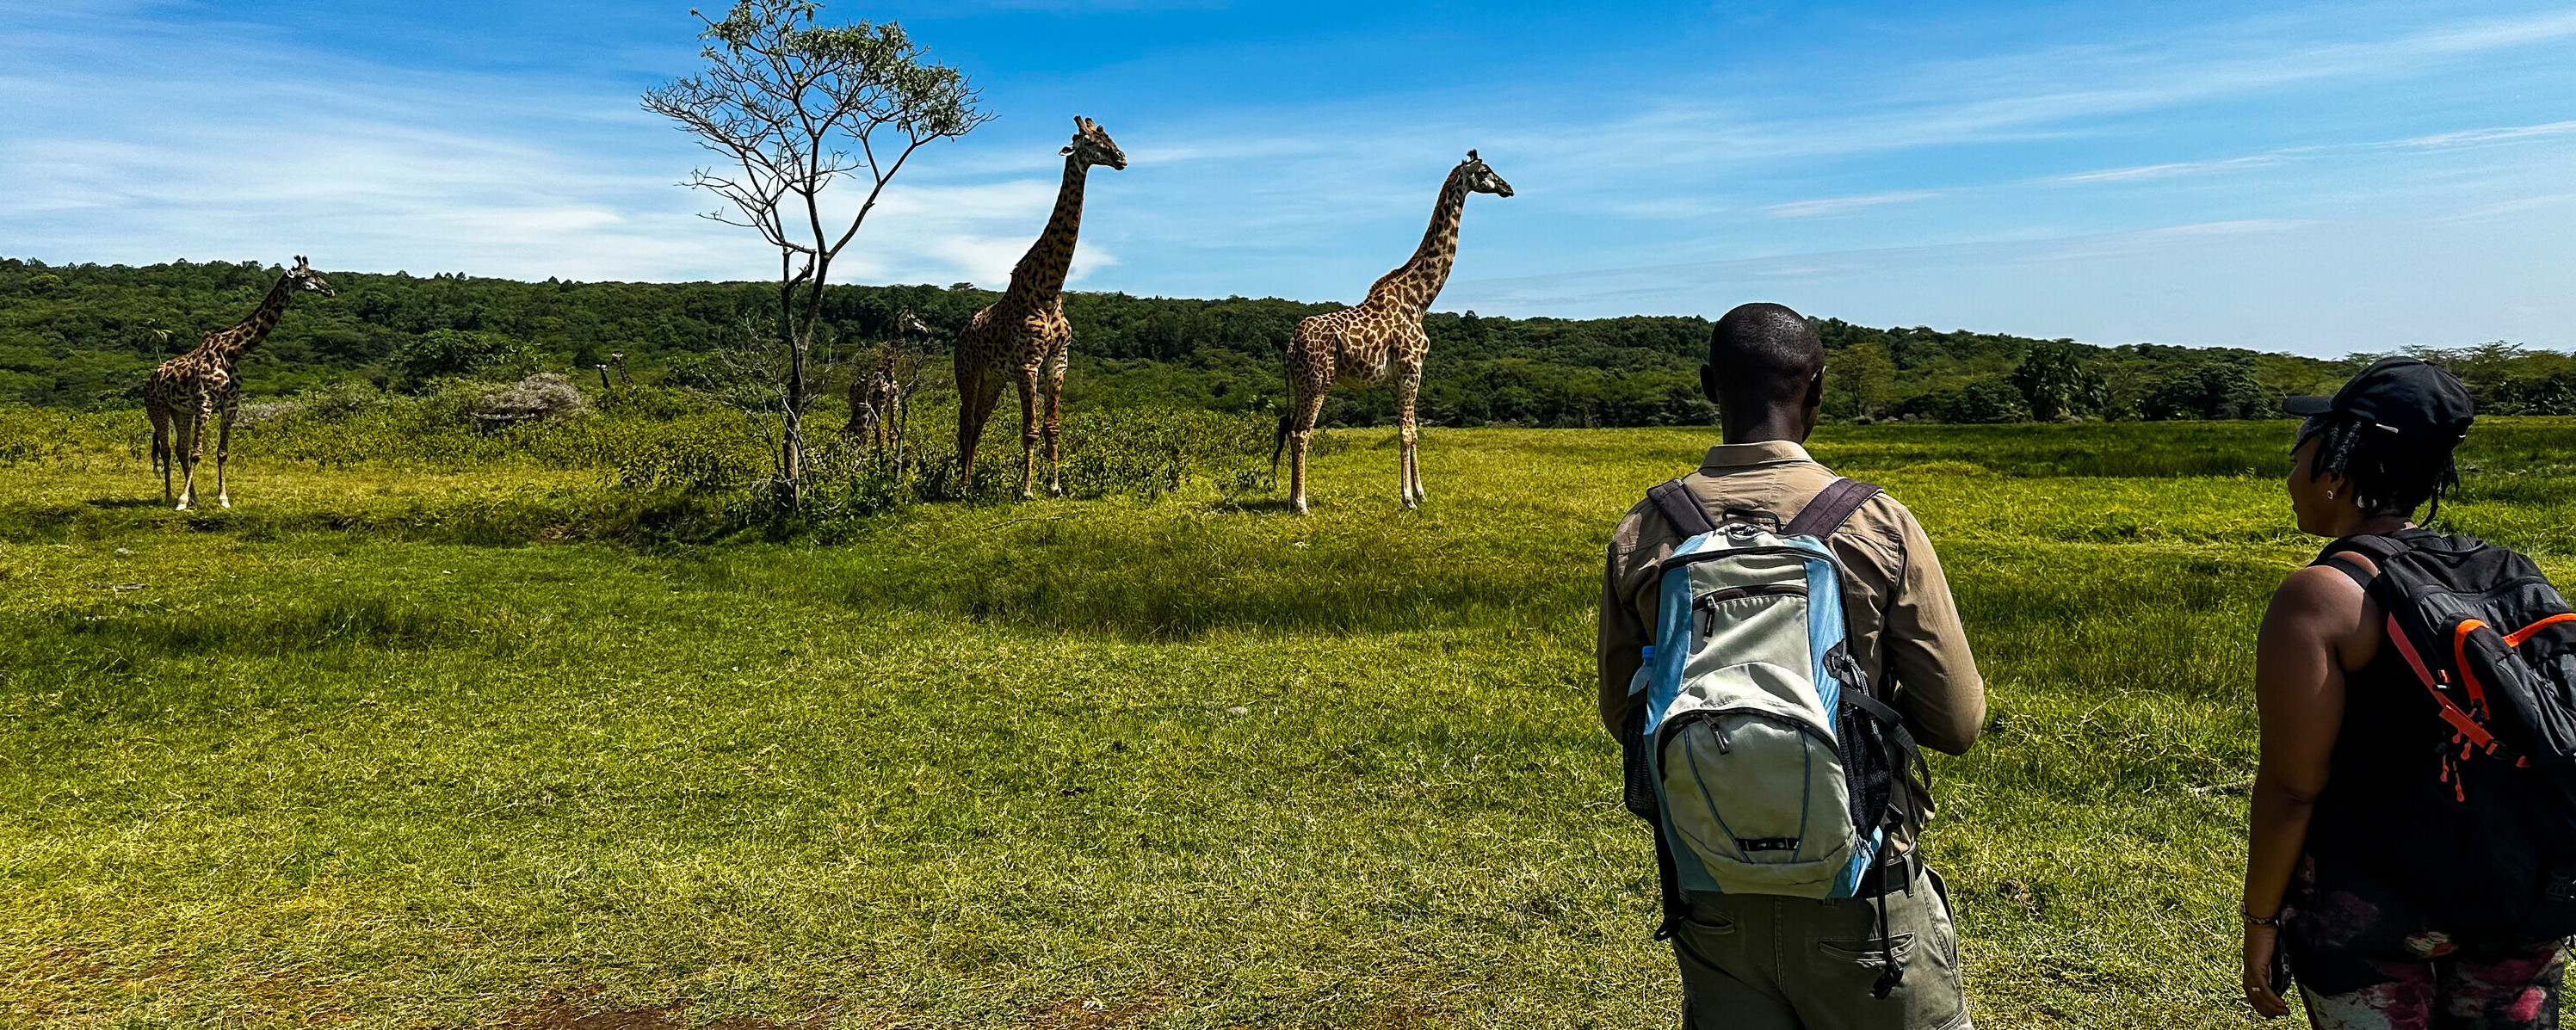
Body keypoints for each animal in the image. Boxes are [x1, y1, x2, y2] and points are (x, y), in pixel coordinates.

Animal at [143, 257, 335, 509]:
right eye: (304, 276)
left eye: (316, 272)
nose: (329, 290)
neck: (231, 352)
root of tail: (149, 380)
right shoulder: (205, 404)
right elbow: (197, 452)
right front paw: (182, 501)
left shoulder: (230, 405)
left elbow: (222, 452)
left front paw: (223, 499)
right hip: (157, 407)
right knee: (166, 449)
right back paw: (170, 498)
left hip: (181, 411)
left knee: (180, 450)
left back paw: (195, 499)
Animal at [844, 306, 937, 450]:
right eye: (915, 318)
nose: (929, 329)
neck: (888, 371)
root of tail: (851, 386)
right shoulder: (881, 403)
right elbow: (880, 434)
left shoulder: (894, 401)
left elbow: (892, 433)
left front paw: (892, 452)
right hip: (856, 404)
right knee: (862, 431)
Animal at [958, 114, 1127, 502]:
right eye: (1088, 142)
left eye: (1109, 137)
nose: (1122, 158)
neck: (1049, 292)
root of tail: (961, 334)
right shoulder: (1028, 363)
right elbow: (1030, 429)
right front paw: (1026, 490)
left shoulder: (1057, 362)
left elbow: (1052, 426)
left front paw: (1055, 485)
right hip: (969, 372)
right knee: (967, 420)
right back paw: (961, 484)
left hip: (993, 378)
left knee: (979, 421)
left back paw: (968, 480)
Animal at [1267, 150, 1504, 515]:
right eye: (1487, 171)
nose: (1508, 188)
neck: (1419, 299)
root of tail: (1291, 344)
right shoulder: (1411, 367)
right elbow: (1405, 433)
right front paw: (1408, 499)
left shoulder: (1403, 375)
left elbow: (1414, 430)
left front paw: (1421, 492)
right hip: (1318, 381)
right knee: (1301, 432)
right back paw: (1302, 505)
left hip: (1301, 382)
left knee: (1291, 428)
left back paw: (1294, 500)